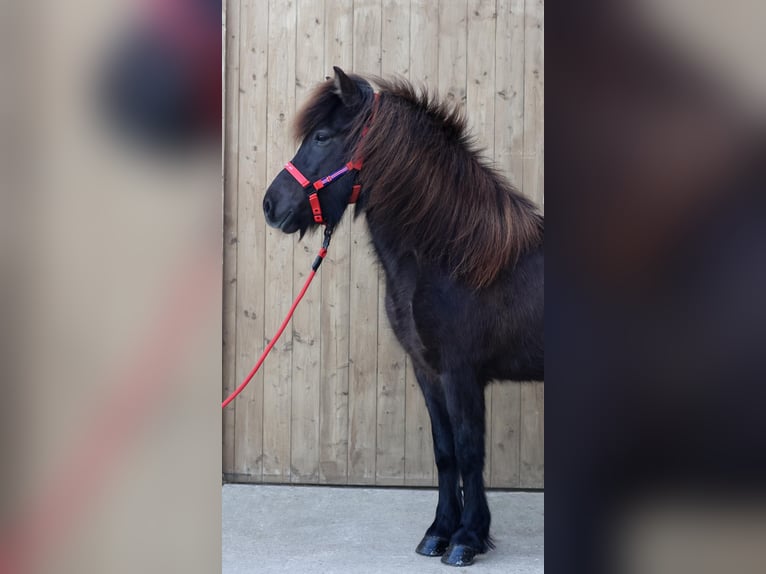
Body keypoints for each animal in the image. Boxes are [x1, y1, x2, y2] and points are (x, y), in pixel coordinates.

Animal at [264, 67, 544, 568]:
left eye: (321, 136)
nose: (271, 206)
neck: (454, 257)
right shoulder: (427, 371)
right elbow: (445, 451)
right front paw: (438, 532)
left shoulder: (461, 374)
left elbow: (470, 451)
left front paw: (468, 539)